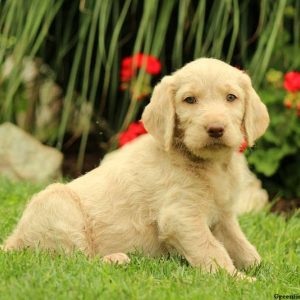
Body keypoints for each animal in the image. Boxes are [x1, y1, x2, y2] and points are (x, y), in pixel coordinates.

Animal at [2, 58, 270, 278]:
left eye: (231, 98)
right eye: (190, 100)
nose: (215, 129)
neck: (210, 164)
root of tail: (13, 240)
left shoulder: (223, 215)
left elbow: (243, 247)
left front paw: (261, 268)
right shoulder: (181, 217)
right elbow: (211, 249)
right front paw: (238, 279)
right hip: (56, 203)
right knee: (75, 262)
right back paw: (115, 258)